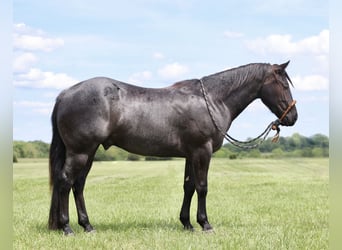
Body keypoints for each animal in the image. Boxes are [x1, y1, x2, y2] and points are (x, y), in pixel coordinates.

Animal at [47, 60, 296, 234]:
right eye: (284, 84)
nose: (293, 117)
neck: (212, 100)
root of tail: (65, 95)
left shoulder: (191, 154)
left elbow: (189, 187)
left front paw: (187, 224)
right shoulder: (202, 151)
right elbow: (202, 187)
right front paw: (205, 224)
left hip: (89, 152)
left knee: (78, 185)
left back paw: (87, 226)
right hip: (81, 152)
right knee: (65, 182)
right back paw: (67, 227)